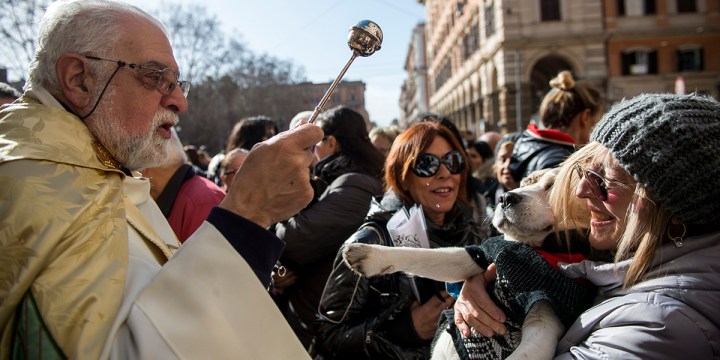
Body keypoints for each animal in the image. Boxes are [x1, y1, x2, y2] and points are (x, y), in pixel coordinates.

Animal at [346, 169, 592, 360]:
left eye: (552, 186)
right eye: (525, 183)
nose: (505, 197)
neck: (534, 249)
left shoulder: (545, 319)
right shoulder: (480, 256)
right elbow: (427, 256)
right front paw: (370, 255)